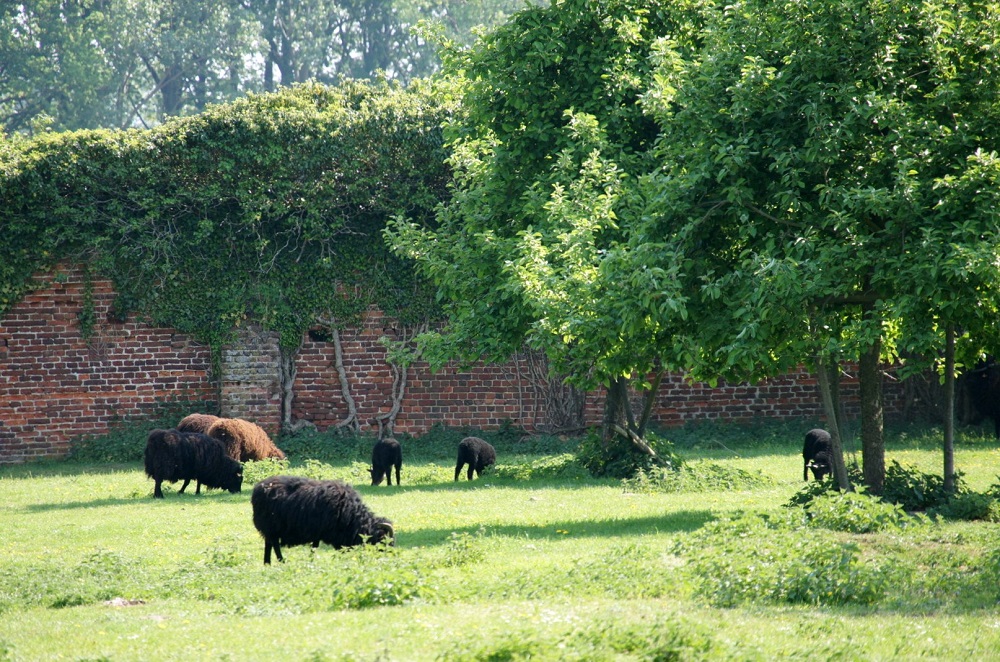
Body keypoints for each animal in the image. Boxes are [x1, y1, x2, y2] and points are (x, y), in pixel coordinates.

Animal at [250, 478, 394, 564]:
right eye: (384, 541)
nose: (390, 558)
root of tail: (257, 489)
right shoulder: (320, 532)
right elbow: (315, 548)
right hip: (272, 527)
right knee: (274, 545)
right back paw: (281, 561)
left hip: (270, 529)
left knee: (268, 544)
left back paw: (267, 563)